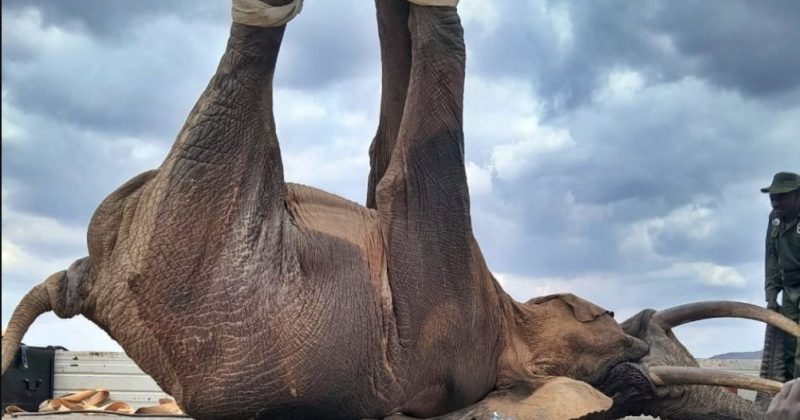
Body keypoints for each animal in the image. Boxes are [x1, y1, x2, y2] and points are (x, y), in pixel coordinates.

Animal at [3, 0, 799, 419]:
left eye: (624, 377)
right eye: (603, 316)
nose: (623, 324)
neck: (512, 329)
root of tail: (88, 284)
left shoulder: (441, 309)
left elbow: (416, 163)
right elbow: (386, 148)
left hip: (204, 270)